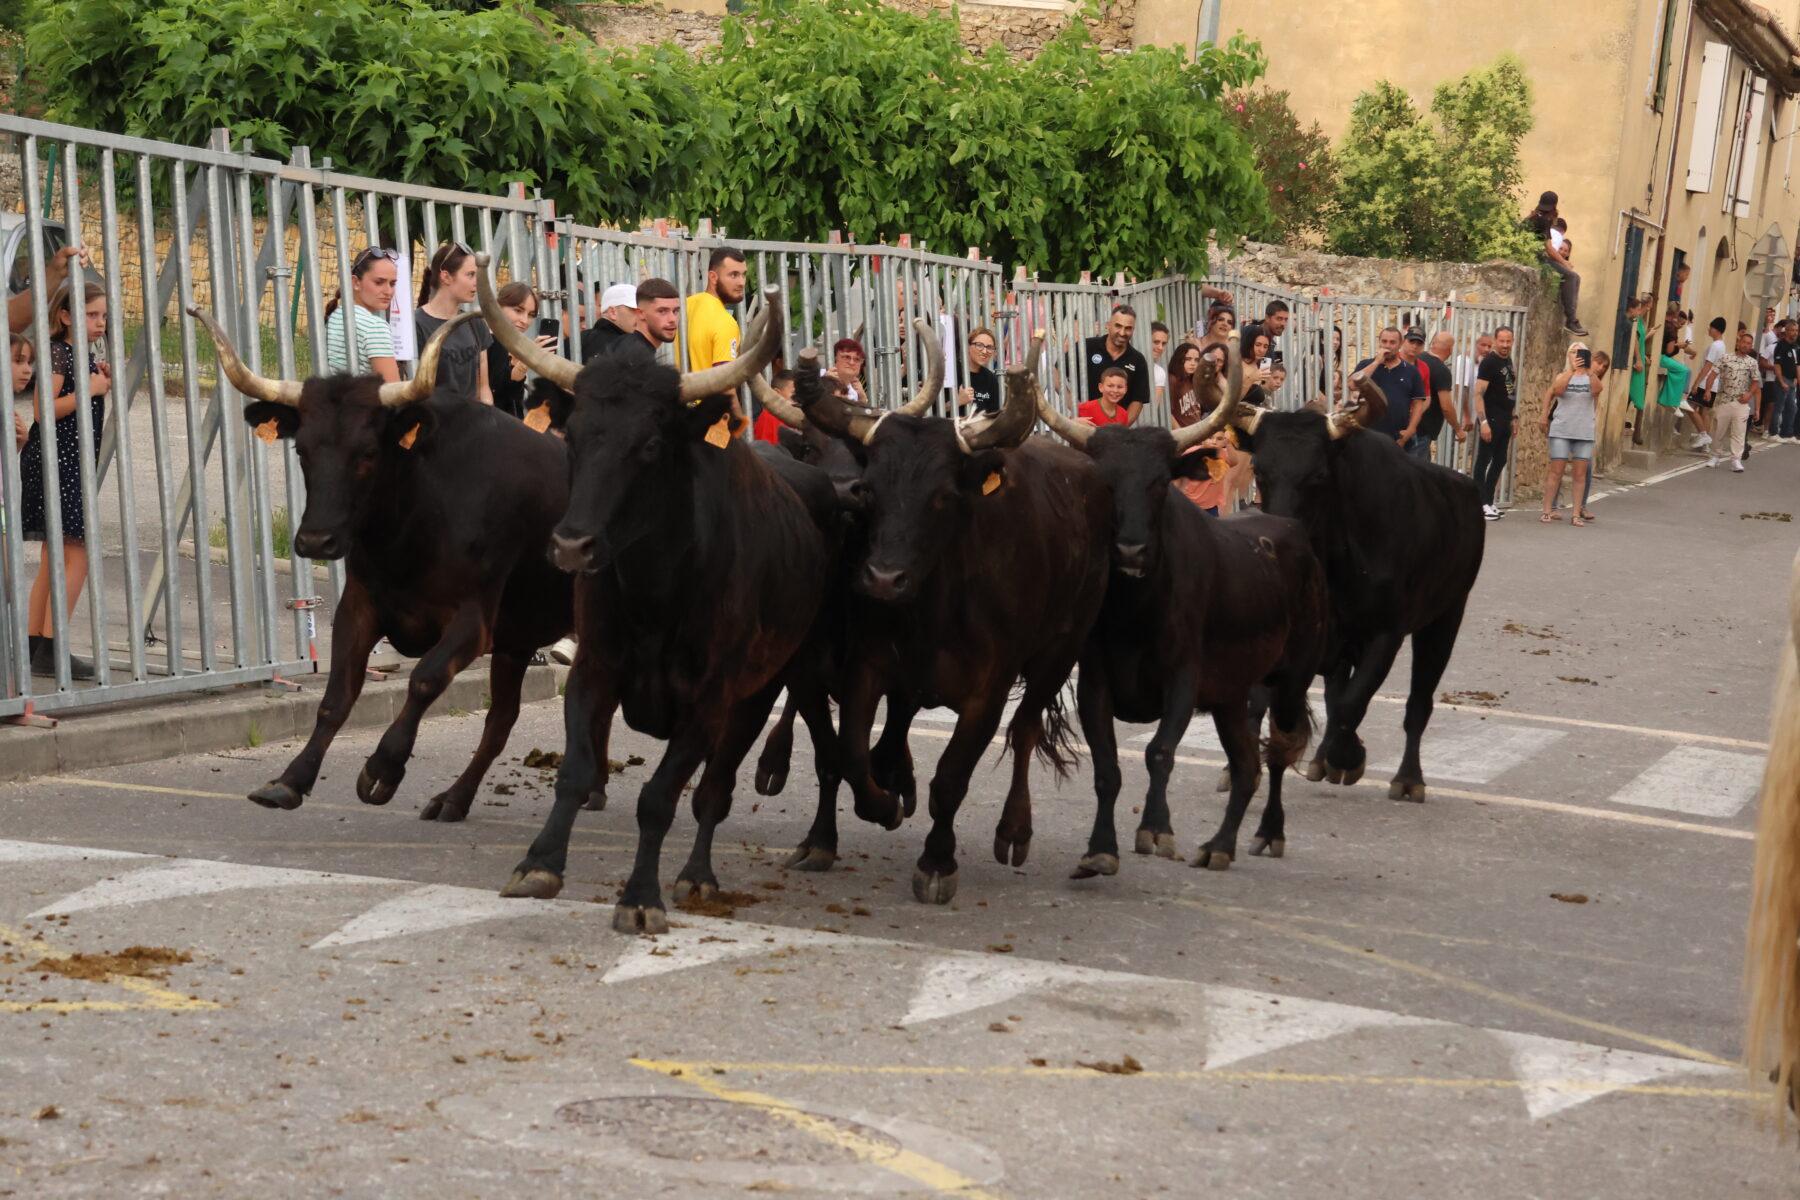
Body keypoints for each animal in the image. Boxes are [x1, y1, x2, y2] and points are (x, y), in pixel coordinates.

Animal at [189, 305, 568, 820]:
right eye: (301, 449)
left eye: (368, 452)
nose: (316, 540)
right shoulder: (360, 606)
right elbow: (336, 697)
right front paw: (290, 779)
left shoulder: (474, 620)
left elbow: (425, 679)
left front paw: (383, 767)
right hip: (519, 639)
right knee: (501, 720)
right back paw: (455, 799)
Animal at [478, 262, 842, 935]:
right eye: (574, 437)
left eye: (649, 446)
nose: (571, 544)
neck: (657, 590)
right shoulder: (595, 669)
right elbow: (574, 773)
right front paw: (538, 864)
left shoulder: (712, 698)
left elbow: (662, 798)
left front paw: (642, 895)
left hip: (787, 676)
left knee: (727, 785)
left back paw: (711, 871)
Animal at [802, 338, 1108, 899]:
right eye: (870, 490)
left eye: (942, 496)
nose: (883, 579)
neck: (935, 609)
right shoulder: (869, 667)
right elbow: (852, 753)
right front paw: (882, 804)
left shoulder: (988, 691)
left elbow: (951, 777)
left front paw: (937, 861)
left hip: (1060, 652)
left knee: (1026, 729)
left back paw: (1015, 829)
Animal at [1036, 338, 1332, 874]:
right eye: (1105, 482)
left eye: (1159, 481)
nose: (1130, 551)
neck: (1134, 612)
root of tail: (1291, 531)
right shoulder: (1095, 685)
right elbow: (1107, 768)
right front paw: (1101, 848)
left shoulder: (1182, 678)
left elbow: (1159, 751)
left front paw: (1156, 829)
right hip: (1233, 694)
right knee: (1247, 766)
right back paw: (1219, 845)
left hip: (1291, 680)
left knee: (1278, 752)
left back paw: (1268, 833)